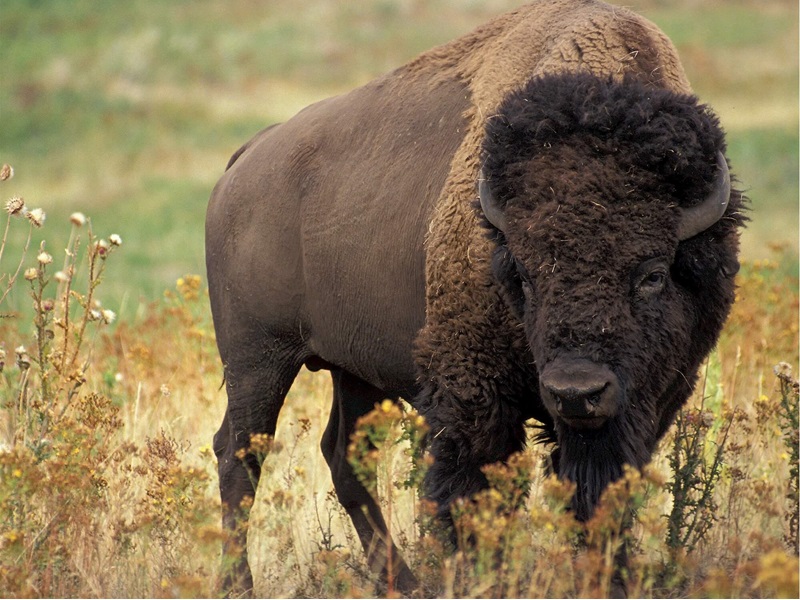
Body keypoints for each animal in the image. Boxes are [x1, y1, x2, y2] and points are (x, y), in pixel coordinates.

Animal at [206, 0, 745, 595]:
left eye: (652, 273)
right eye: (524, 276)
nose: (575, 391)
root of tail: (247, 159)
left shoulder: (646, 402)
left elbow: (602, 495)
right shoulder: (473, 395)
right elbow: (474, 494)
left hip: (354, 370)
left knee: (343, 456)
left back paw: (402, 581)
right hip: (258, 358)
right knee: (240, 453)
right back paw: (239, 583)